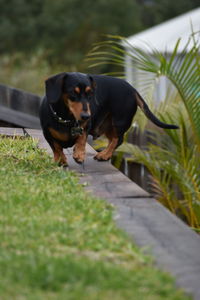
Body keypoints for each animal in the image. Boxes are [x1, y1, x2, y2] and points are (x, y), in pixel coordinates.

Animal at [39, 72, 178, 168]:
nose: (86, 116)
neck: (66, 119)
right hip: (109, 126)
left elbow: (82, 139)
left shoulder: (85, 126)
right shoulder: (47, 133)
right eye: (73, 93)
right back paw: (105, 154)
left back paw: (104, 155)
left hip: (119, 121)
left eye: (90, 94)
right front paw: (61, 160)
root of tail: (132, 89)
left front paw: (79, 154)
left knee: (118, 139)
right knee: (113, 140)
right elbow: (56, 147)